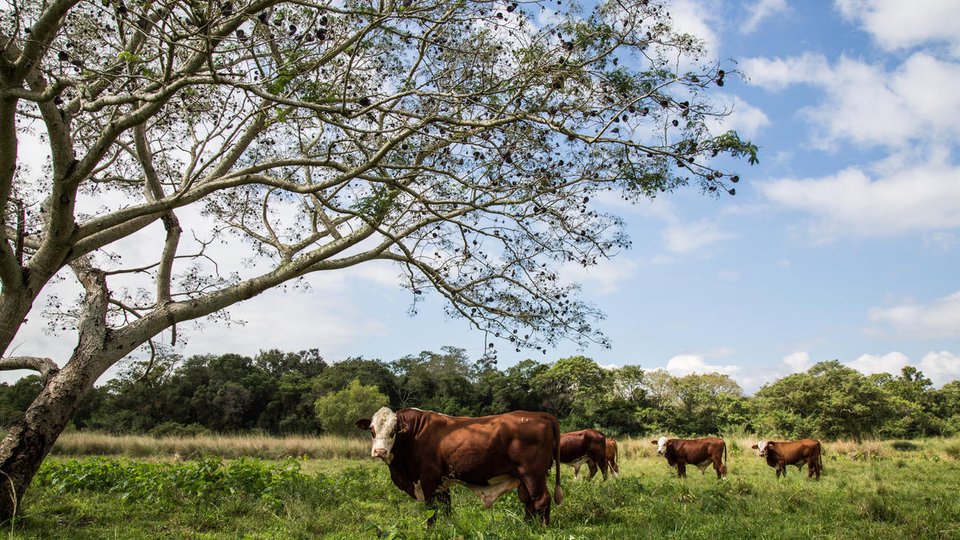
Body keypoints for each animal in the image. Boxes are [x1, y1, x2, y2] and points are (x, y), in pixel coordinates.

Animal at [356, 407, 563, 525]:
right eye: (372, 430)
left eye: (393, 430)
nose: (380, 451)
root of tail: (539, 415)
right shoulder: (441, 483)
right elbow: (447, 508)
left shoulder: (428, 479)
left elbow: (431, 510)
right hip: (527, 477)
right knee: (529, 502)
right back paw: (527, 527)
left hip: (532, 474)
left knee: (541, 501)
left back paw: (542, 529)